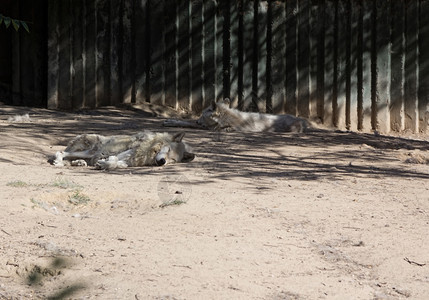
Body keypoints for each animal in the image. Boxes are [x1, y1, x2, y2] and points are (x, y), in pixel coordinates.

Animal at [51, 131, 195, 170]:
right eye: (168, 150)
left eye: (173, 160)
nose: (162, 162)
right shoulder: (128, 153)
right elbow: (114, 160)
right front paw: (104, 163)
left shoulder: (129, 161)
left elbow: (116, 163)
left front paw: (104, 164)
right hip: (91, 150)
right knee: (61, 153)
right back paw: (58, 162)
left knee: (72, 159)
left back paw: (80, 163)